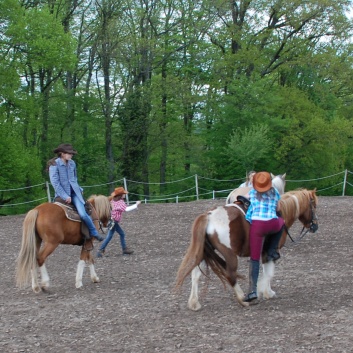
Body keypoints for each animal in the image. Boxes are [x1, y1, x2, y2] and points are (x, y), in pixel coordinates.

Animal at [175, 187, 318, 308]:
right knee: (230, 274)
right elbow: (269, 272)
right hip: (229, 253)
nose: (315, 226)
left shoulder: (263, 252)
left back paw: (194, 303)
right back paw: (243, 298)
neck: (280, 212)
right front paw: (267, 292)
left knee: (195, 273)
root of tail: (209, 216)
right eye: (314, 206)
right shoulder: (271, 251)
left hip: (205, 251)